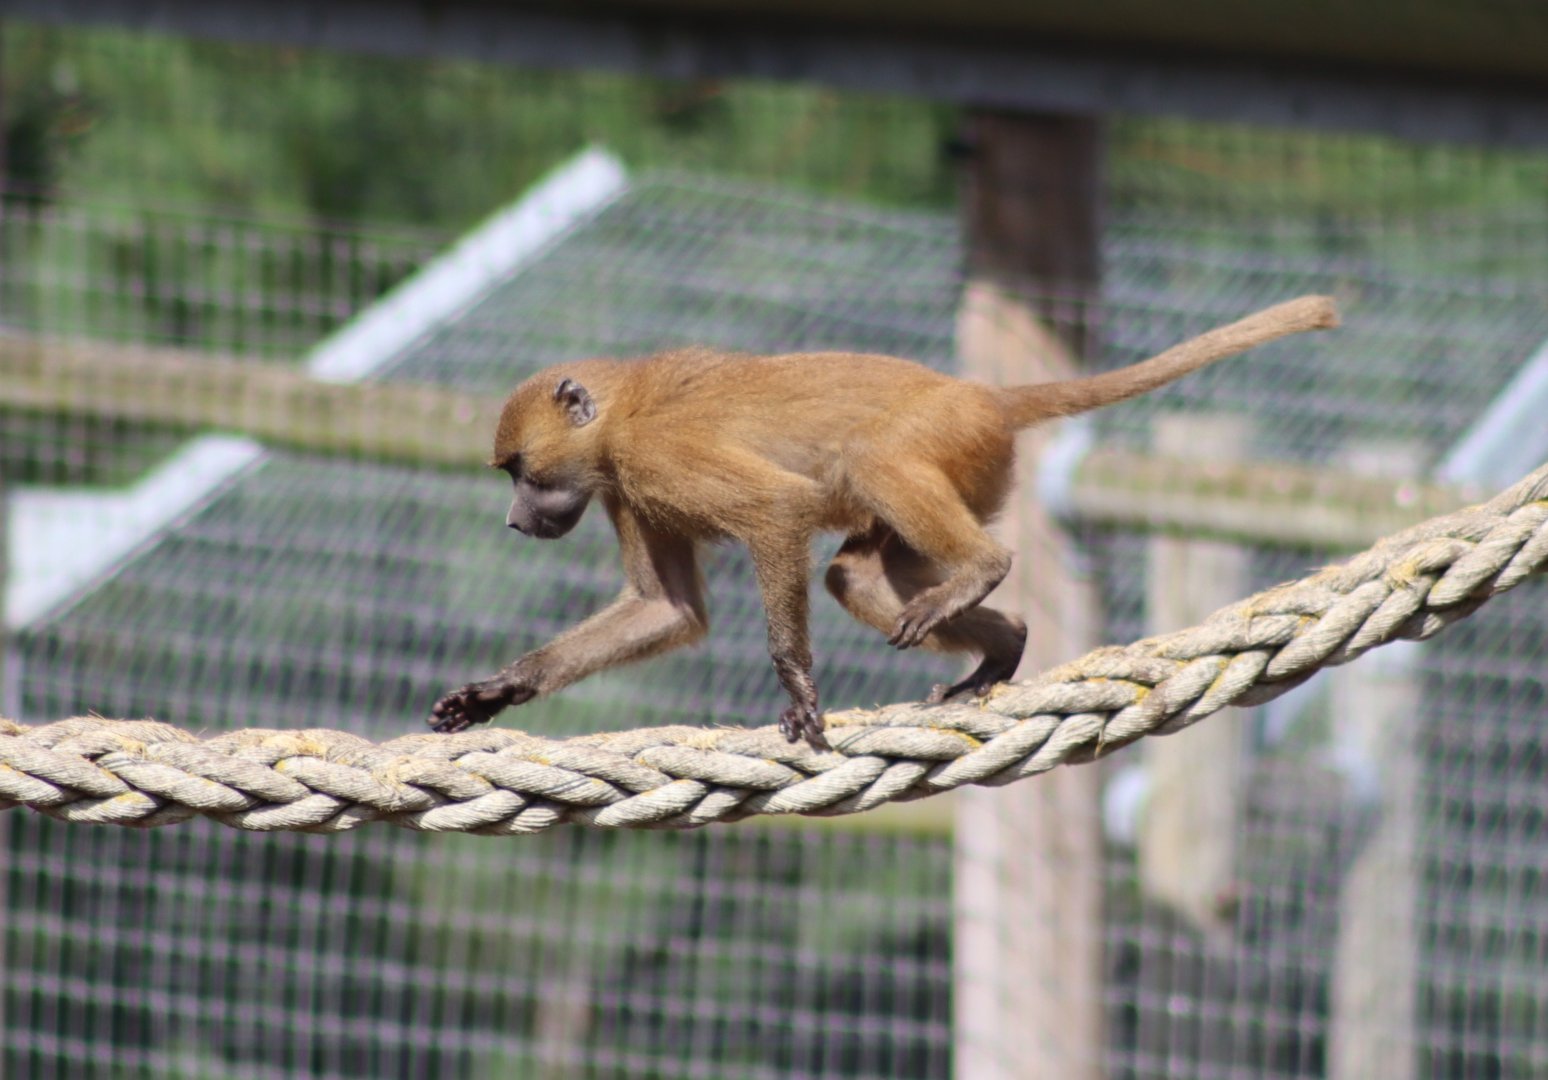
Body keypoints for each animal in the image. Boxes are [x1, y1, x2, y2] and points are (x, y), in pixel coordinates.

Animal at [428, 295, 1339, 749]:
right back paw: (1001, 646)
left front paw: (798, 691)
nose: (515, 521)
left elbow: (777, 511)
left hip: (946, 441)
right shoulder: (626, 486)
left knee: (872, 463)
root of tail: (982, 395)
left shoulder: (652, 456)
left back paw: (983, 575)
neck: (618, 415)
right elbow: (667, 611)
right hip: (974, 466)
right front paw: (497, 690)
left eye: (521, 474)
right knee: (855, 573)